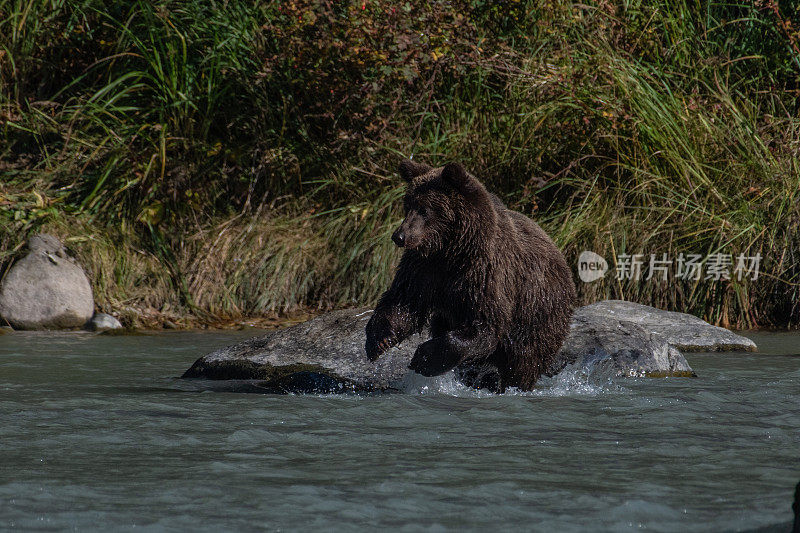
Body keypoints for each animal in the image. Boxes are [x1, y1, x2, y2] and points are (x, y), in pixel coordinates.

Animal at [366, 159, 580, 390]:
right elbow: (404, 300)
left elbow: (485, 325)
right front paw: (379, 340)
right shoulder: (424, 268)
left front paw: (423, 357)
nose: (399, 236)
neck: (452, 250)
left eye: (425, 209)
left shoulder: (486, 273)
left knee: (524, 359)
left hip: (537, 310)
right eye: (408, 205)